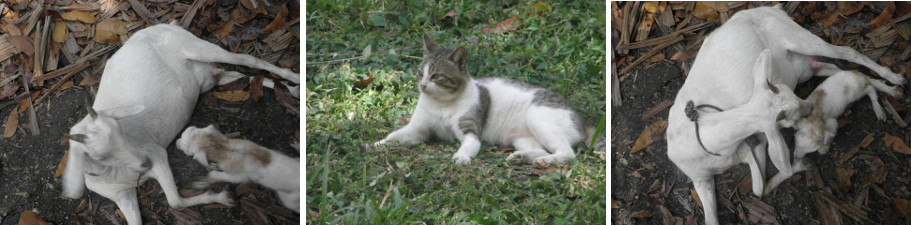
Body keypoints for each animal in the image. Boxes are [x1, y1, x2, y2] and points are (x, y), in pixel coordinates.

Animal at [61, 22, 302, 224]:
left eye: (121, 131)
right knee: (242, 77)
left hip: (193, 45)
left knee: (247, 60)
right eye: (101, 156)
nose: (145, 163)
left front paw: (221, 197)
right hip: (211, 78)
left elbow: (174, 202)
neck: (119, 175)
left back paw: (295, 79)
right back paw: (292, 90)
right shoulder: (122, 195)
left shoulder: (157, 153)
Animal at [370, 34, 600, 165]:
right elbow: (392, 137)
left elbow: (468, 147)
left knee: (567, 153)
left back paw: (545, 161)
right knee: (539, 149)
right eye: (420, 73)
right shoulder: (417, 130)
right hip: (523, 138)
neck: (441, 104)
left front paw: (461, 157)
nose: (422, 85)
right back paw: (523, 158)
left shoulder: (471, 131)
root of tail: (582, 121)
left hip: (538, 118)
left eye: (436, 76)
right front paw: (374, 145)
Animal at [668, 5, 908, 225]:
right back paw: (892, 90)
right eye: (789, 121)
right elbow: (742, 198)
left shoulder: (756, 143)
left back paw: (896, 78)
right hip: (807, 68)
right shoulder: (701, 178)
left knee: (846, 52)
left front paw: (802, 165)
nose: (809, 108)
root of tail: (770, 7)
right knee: (844, 71)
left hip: (795, 36)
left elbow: (758, 188)